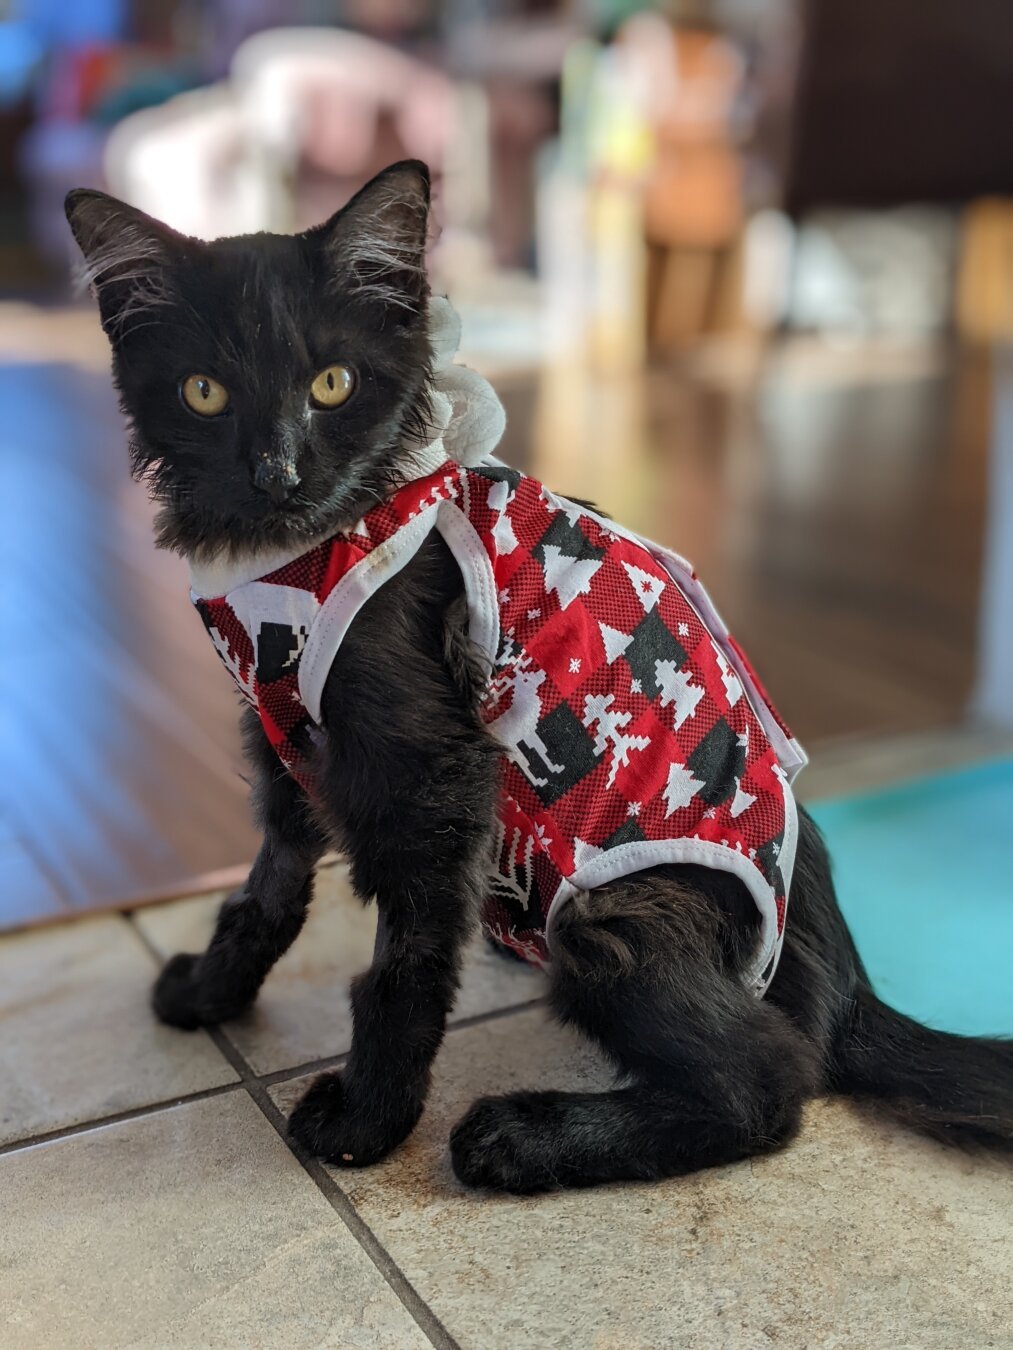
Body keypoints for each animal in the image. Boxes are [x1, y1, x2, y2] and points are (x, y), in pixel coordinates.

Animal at [65, 160, 1013, 1193]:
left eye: (332, 384)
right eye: (204, 393)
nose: (276, 474)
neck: (291, 551)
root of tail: (842, 979)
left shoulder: (430, 772)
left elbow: (403, 964)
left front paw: (367, 1122)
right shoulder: (284, 743)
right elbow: (263, 892)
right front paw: (209, 992)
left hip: (609, 911)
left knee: (769, 1079)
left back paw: (522, 1139)